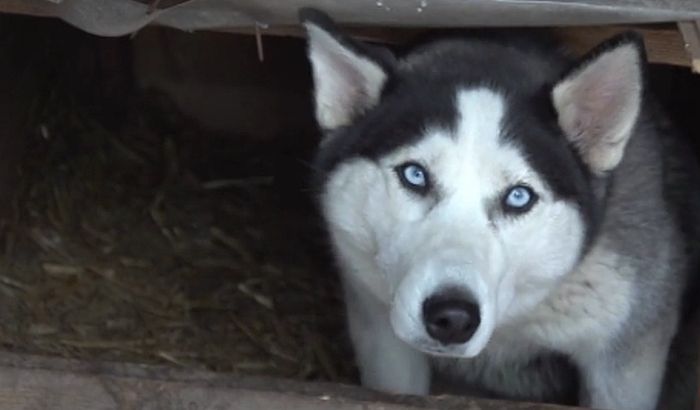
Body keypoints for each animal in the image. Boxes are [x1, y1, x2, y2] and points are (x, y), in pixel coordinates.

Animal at [300, 7, 700, 410]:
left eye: (519, 197)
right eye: (415, 175)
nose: (453, 317)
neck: (510, 322)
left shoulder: (626, 356)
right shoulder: (380, 330)